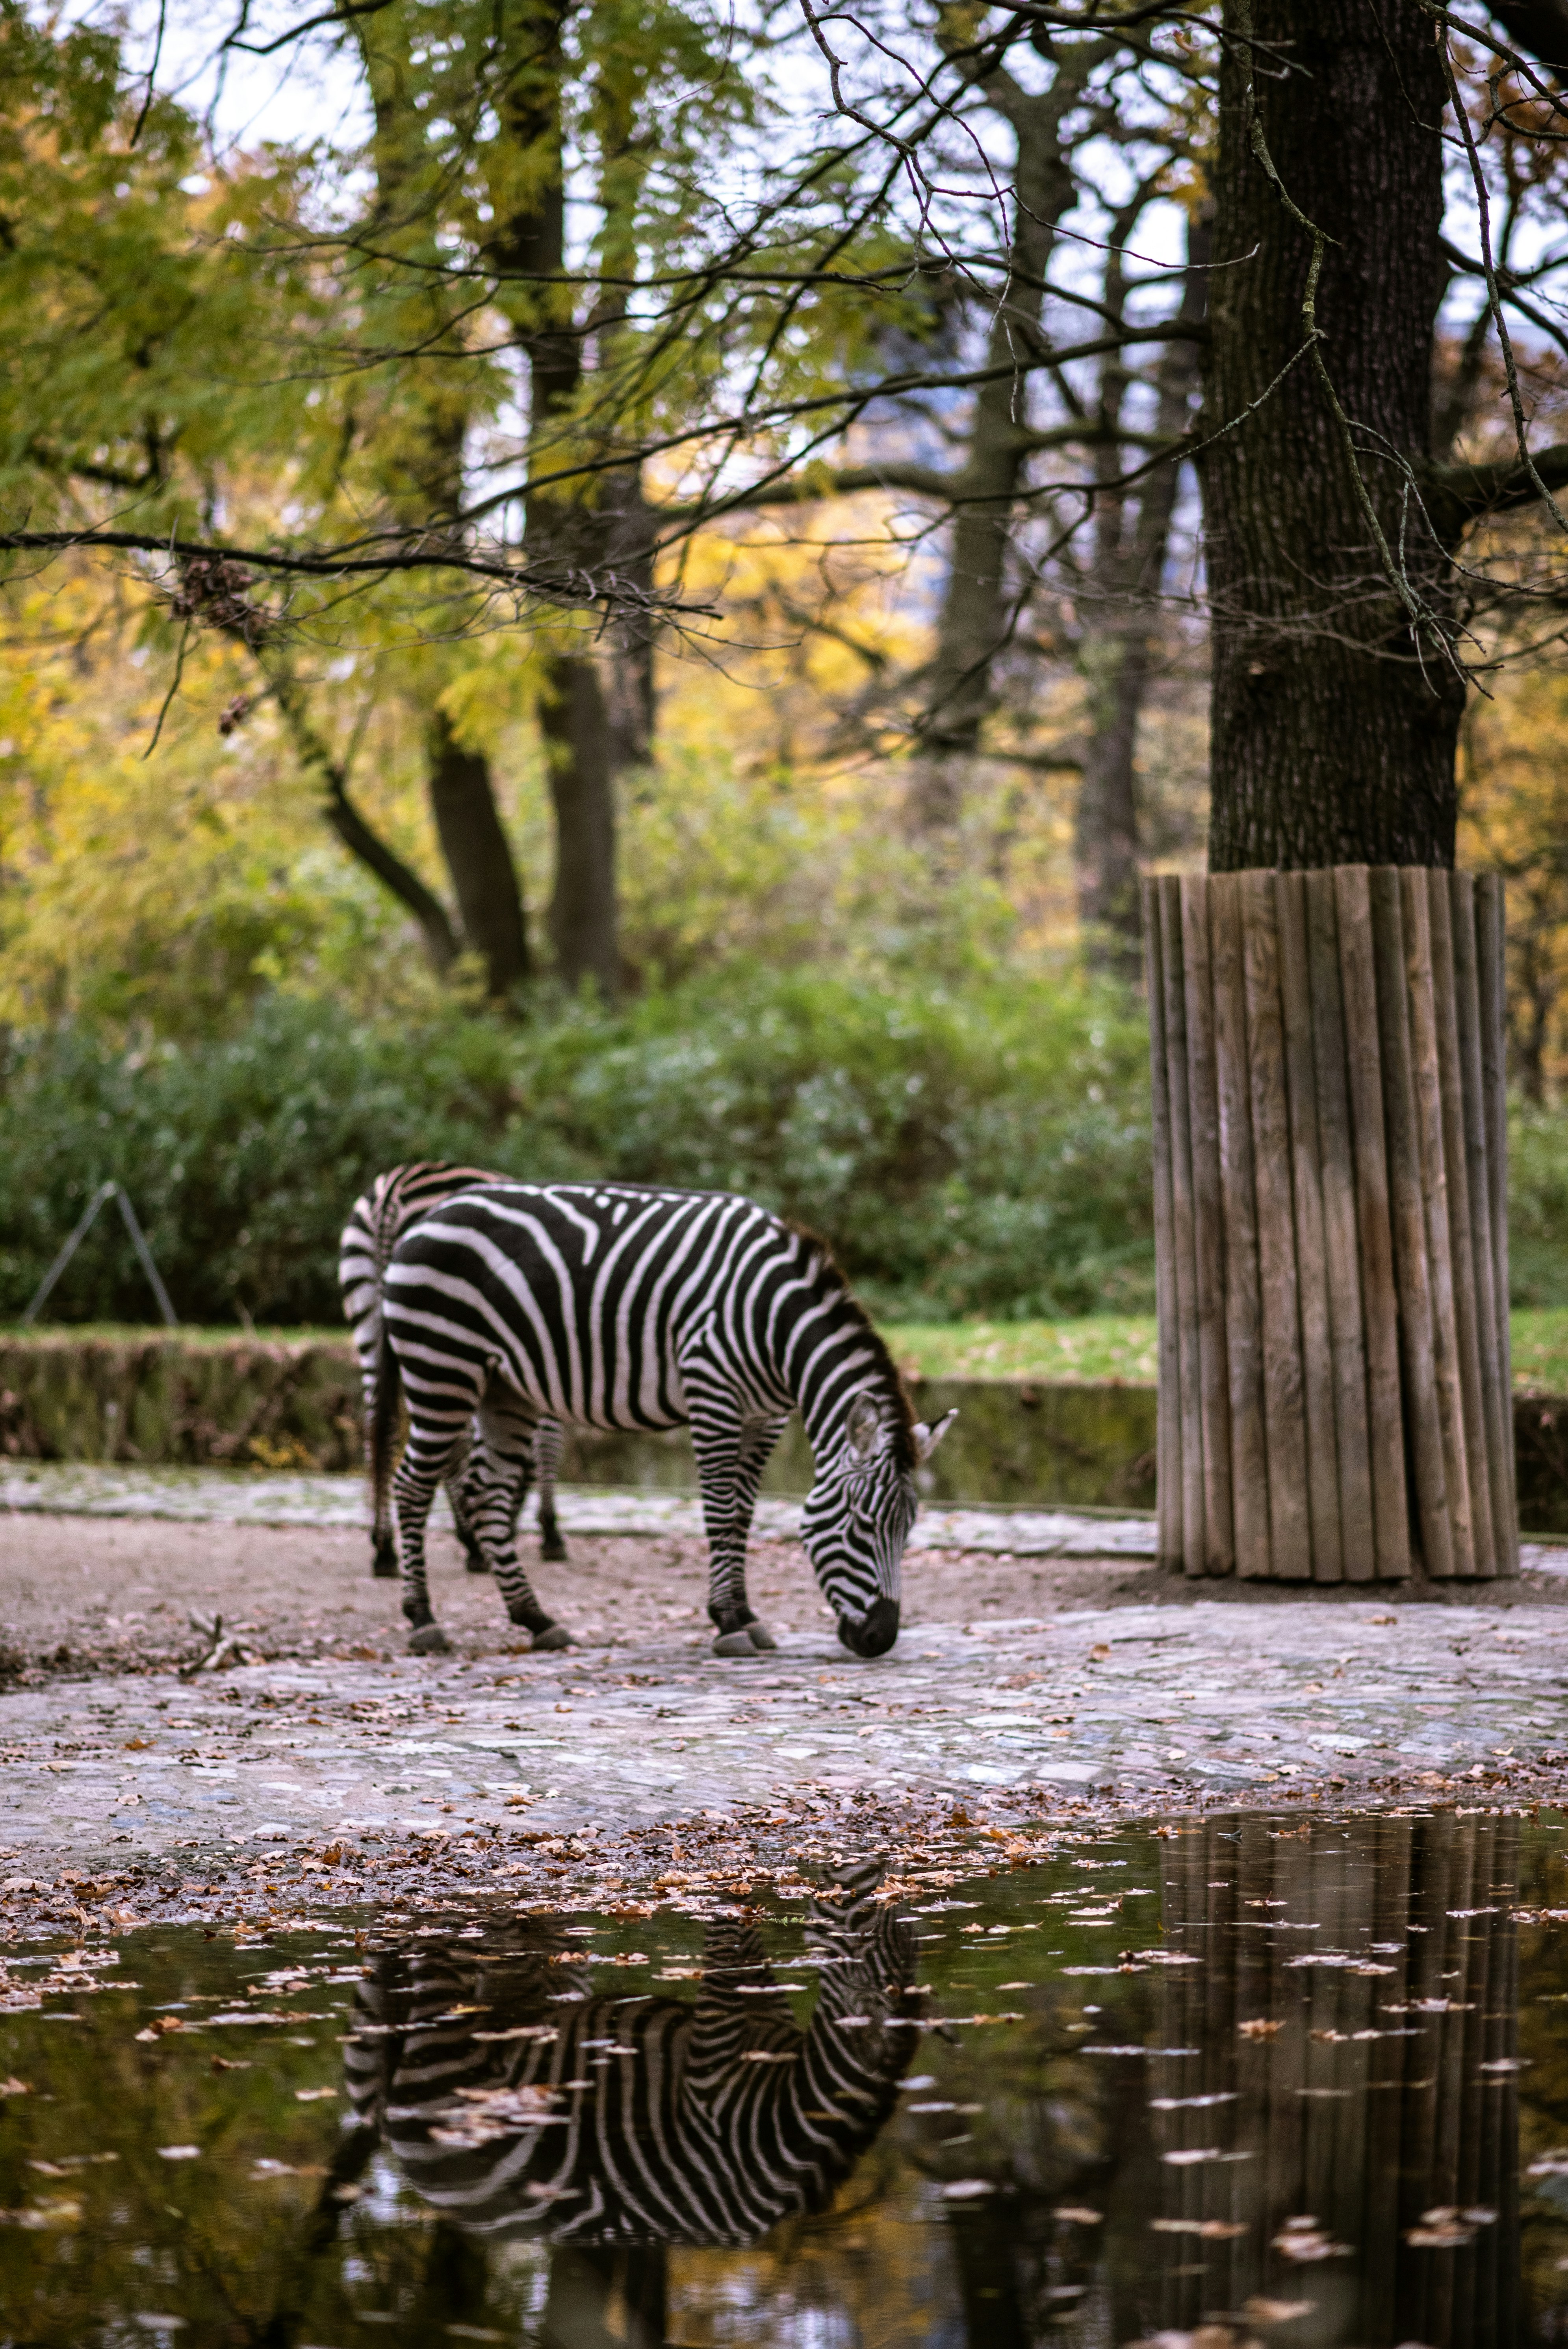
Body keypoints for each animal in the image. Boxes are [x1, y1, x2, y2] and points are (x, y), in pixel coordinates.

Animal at [338, 1162, 569, 1584]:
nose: (511, 1527)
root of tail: (392, 1190)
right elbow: (546, 1440)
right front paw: (549, 1532)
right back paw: (467, 1544)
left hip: (373, 1316)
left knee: (377, 1425)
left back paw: (385, 1548)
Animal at [341, 1861, 917, 2264]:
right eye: (871, 1920)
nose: (868, 1862)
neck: (786, 2115)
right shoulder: (726, 2043)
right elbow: (734, 1934)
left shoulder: (720, 2055)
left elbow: (733, 1941)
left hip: (505, 2005)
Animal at [375, 1179, 955, 1658]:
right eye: (860, 1525)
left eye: (908, 1528)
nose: (880, 1638)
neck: (774, 1324)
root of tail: (427, 1214)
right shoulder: (712, 1395)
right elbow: (720, 1511)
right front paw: (728, 1623)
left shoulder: (764, 1416)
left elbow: (743, 1514)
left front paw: (745, 1614)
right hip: (442, 1368)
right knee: (412, 1485)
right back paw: (423, 1619)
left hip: (505, 1389)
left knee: (490, 1495)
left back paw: (536, 1618)